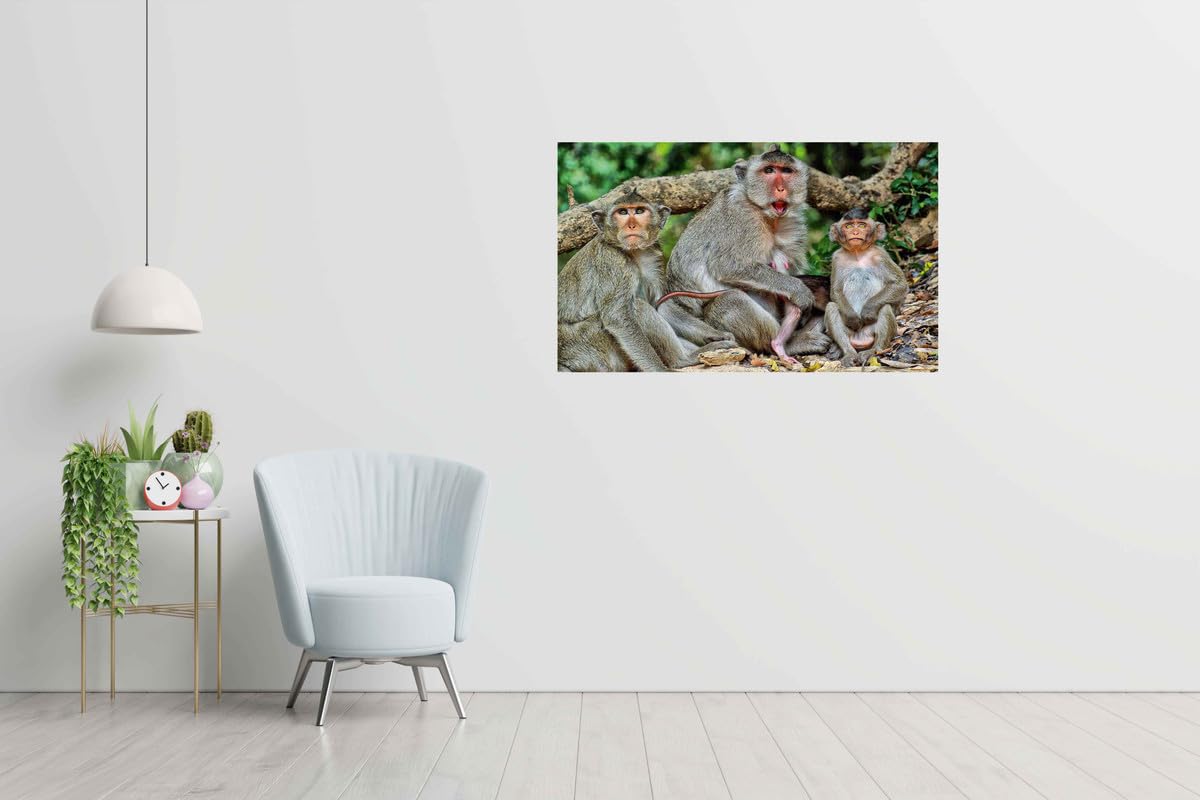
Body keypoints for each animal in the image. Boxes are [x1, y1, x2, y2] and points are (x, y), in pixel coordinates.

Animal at [557, 189, 734, 372]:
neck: (634, 253)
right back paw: (682, 360)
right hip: (588, 345)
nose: (631, 225)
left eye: (640, 211)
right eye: (622, 212)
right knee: (639, 307)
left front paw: (716, 334)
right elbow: (617, 317)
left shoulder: (653, 256)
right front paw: (659, 370)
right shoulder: (612, 261)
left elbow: (662, 304)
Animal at [659, 145, 831, 366]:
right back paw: (786, 344)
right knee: (730, 300)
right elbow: (729, 266)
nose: (781, 189)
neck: (768, 217)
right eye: (769, 170)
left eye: (786, 171)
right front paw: (800, 291)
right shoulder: (742, 221)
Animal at [824, 208, 908, 367]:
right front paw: (852, 318)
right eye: (849, 226)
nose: (855, 232)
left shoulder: (881, 255)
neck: (858, 254)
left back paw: (873, 351)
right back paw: (849, 353)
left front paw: (868, 311)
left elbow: (899, 284)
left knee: (885, 307)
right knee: (831, 307)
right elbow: (836, 290)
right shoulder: (836, 258)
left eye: (862, 225)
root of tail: (861, 339)